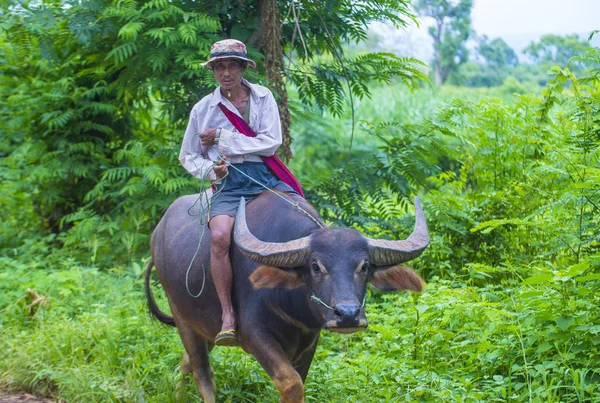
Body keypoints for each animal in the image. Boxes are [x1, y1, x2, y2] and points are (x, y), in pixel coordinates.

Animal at [144, 190, 426, 403]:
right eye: (315, 267)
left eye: (364, 266)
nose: (347, 315)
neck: (293, 308)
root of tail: (157, 234)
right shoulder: (255, 335)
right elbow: (291, 383)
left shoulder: (309, 341)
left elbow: (298, 381)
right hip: (181, 316)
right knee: (202, 371)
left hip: (204, 327)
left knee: (187, 361)